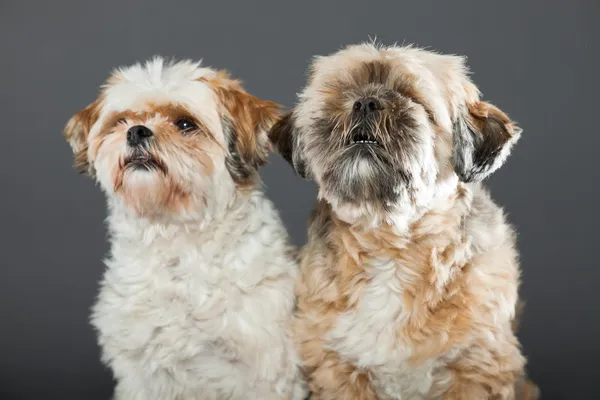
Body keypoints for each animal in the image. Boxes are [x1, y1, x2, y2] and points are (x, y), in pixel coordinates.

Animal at [63, 56, 308, 400]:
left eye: (185, 124)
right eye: (121, 121)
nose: (136, 131)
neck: (175, 239)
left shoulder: (265, 370)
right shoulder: (140, 373)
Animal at [268, 43, 540, 400]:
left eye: (412, 98)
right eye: (342, 92)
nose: (366, 102)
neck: (392, 243)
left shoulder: (477, 365)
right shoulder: (335, 366)